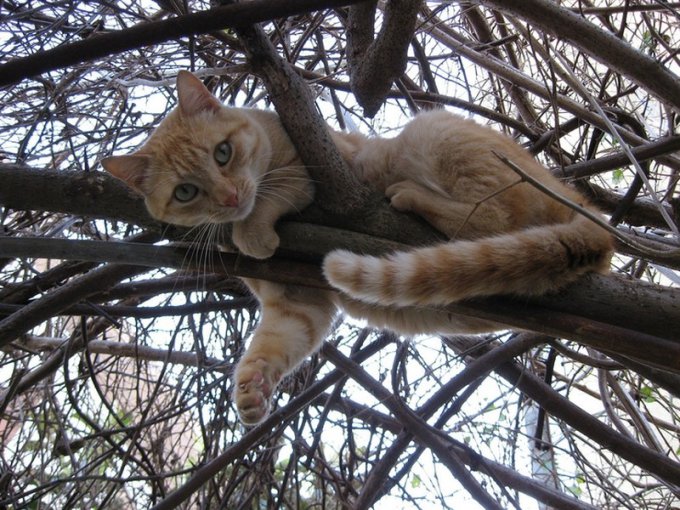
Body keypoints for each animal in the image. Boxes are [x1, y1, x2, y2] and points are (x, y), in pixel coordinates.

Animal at [102, 69, 616, 424]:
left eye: (222, 153)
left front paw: (253, 230)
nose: (229, 198)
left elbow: (271, 196)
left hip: (431, 131)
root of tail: (583, 206)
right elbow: (275, 344)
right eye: (186, 192)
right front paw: (252, 387)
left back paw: (408, 194)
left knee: (488, 218)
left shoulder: (313, 169)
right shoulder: (298, 303)